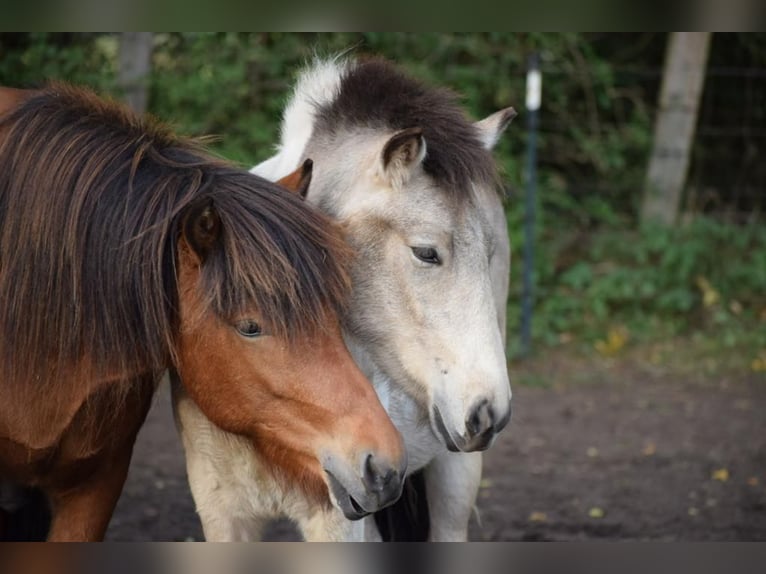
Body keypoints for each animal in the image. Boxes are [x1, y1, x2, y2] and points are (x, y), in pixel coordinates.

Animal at [176, 56, 516, 544]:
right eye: (426, 252)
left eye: (489, 256)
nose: (488, 413)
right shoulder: (222, 515)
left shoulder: (340, 519)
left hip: (454, 480)